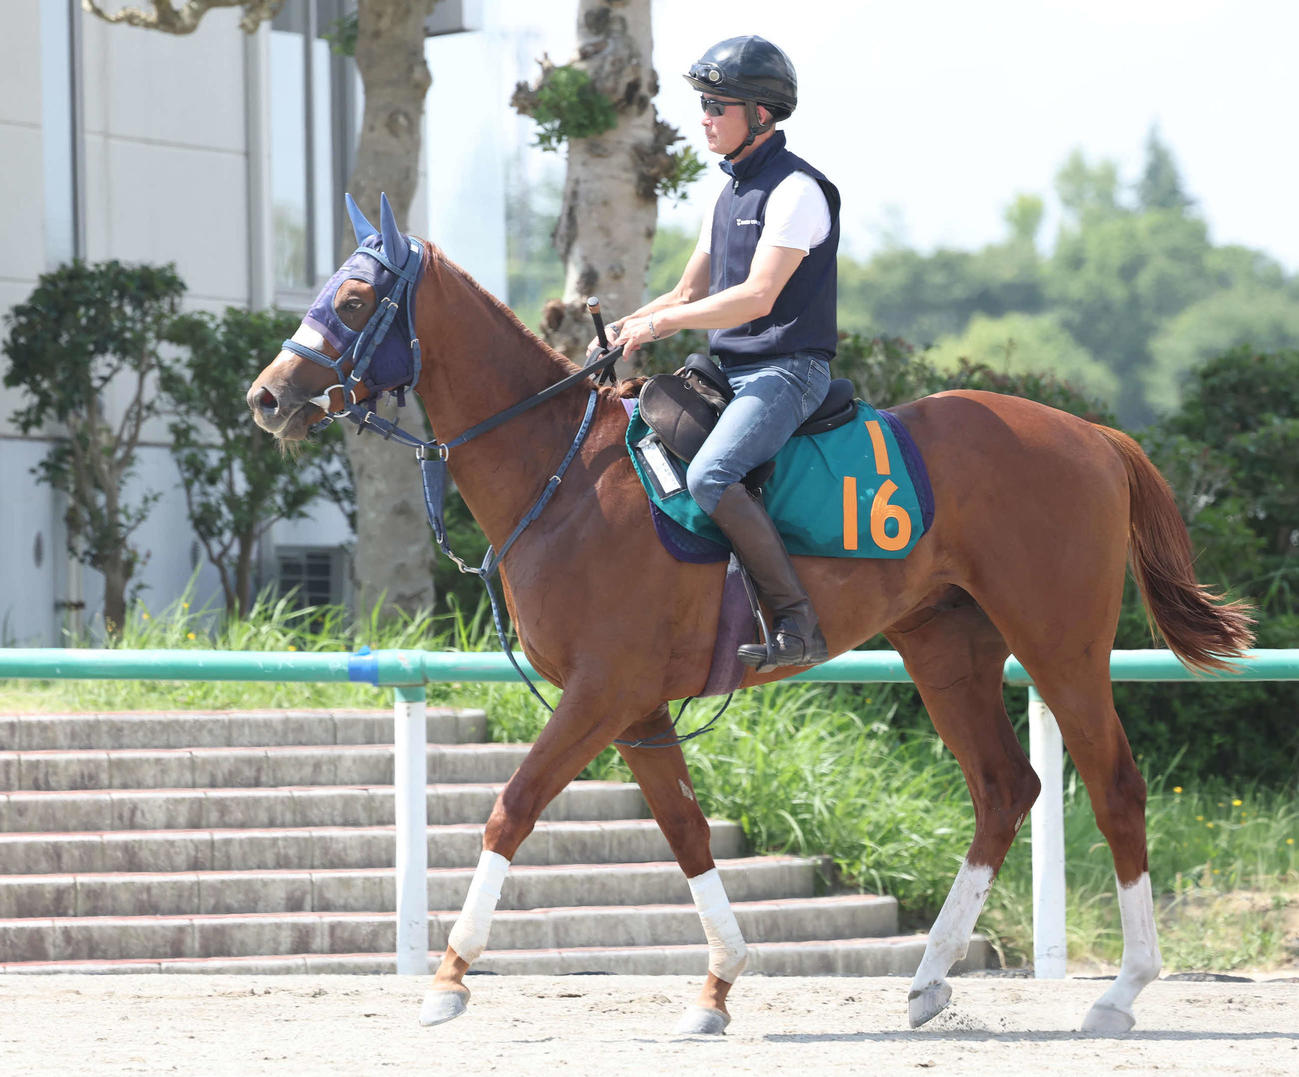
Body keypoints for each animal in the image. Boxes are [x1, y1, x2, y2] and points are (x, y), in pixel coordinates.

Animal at [247, 195, 1253, 1035]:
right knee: (1004, 788)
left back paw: (1120, 991)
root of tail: (1094, 435)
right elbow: (686, 831)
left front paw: (451, 973)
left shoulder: (599, 693)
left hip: (1059, 644)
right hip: (944, 647)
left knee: (1114, 787)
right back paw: (929, 978)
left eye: (355, 295)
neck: (564, 475)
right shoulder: (637, 709)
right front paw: (717, 982)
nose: (266, 396)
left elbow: (512, 807)